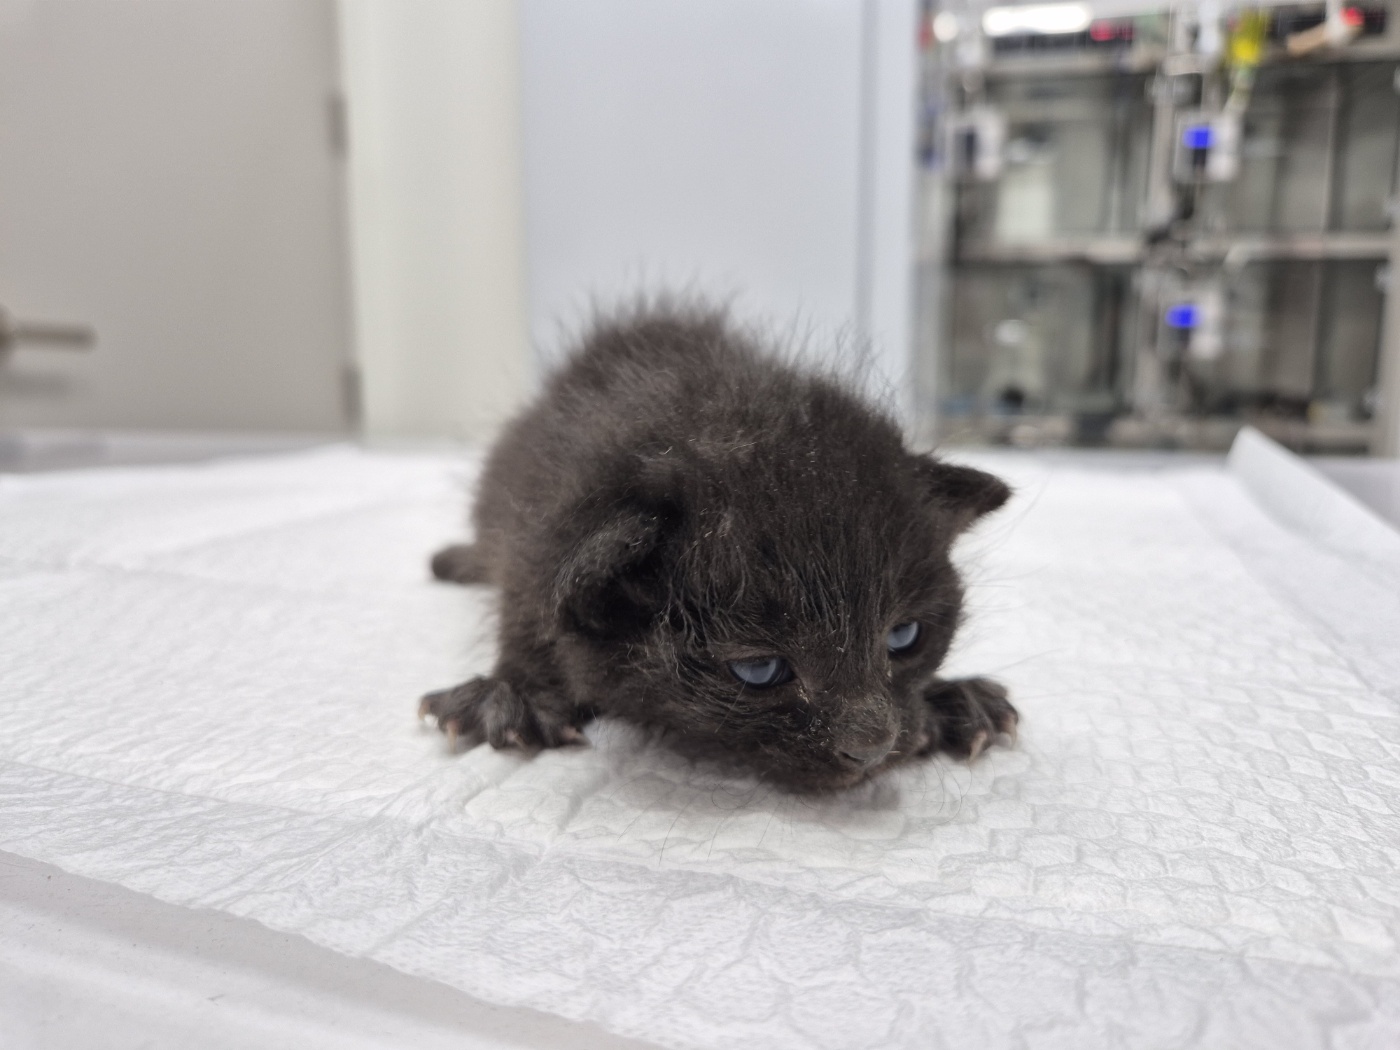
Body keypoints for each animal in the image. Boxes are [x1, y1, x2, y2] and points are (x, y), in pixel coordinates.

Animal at [417, 302, 1019, 789]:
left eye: (904, 636)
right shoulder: (533, 535)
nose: (872, 748)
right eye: (759, 670)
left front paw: (950, 698)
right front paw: (512, 693)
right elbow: (526, 613)